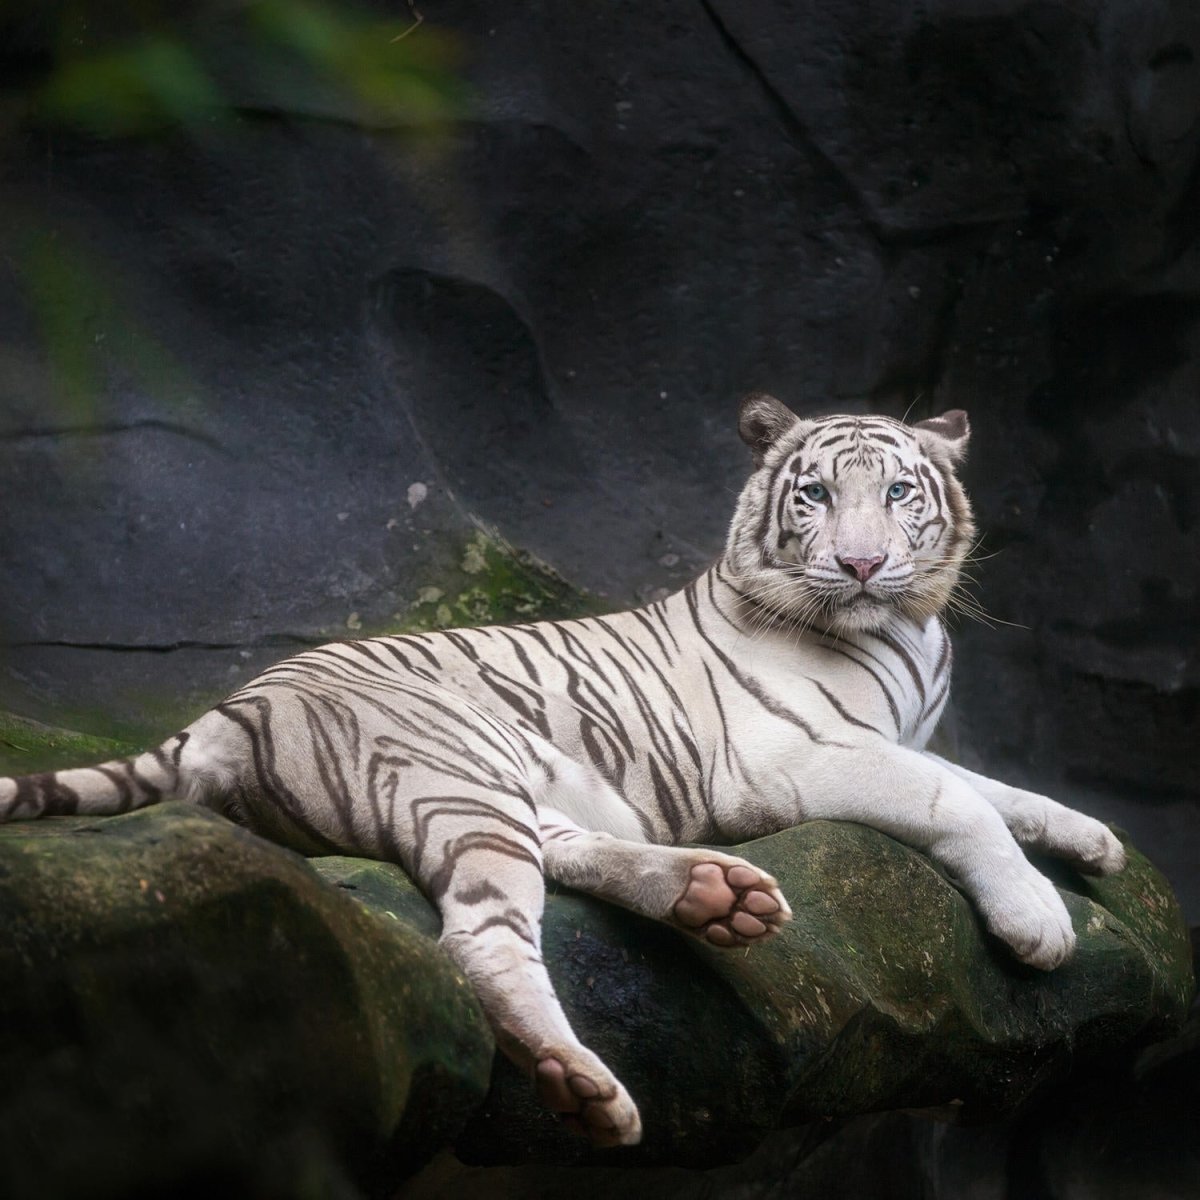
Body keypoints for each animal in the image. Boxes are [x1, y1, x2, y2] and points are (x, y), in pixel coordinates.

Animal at [0, 395, 1126, 1147]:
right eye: (814, 496)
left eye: (898, 493)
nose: (859, 563)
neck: (905, 629)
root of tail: (226, 710)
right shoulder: (795, 757)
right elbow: (955, 800)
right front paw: (1039, 921)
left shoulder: (901, 737)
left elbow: (996, 788)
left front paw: (1094, 839)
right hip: (457, 768)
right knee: (481, 939)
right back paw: (582, 1081)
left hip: (505, 782)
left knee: (565, 859)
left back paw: (714, 898)